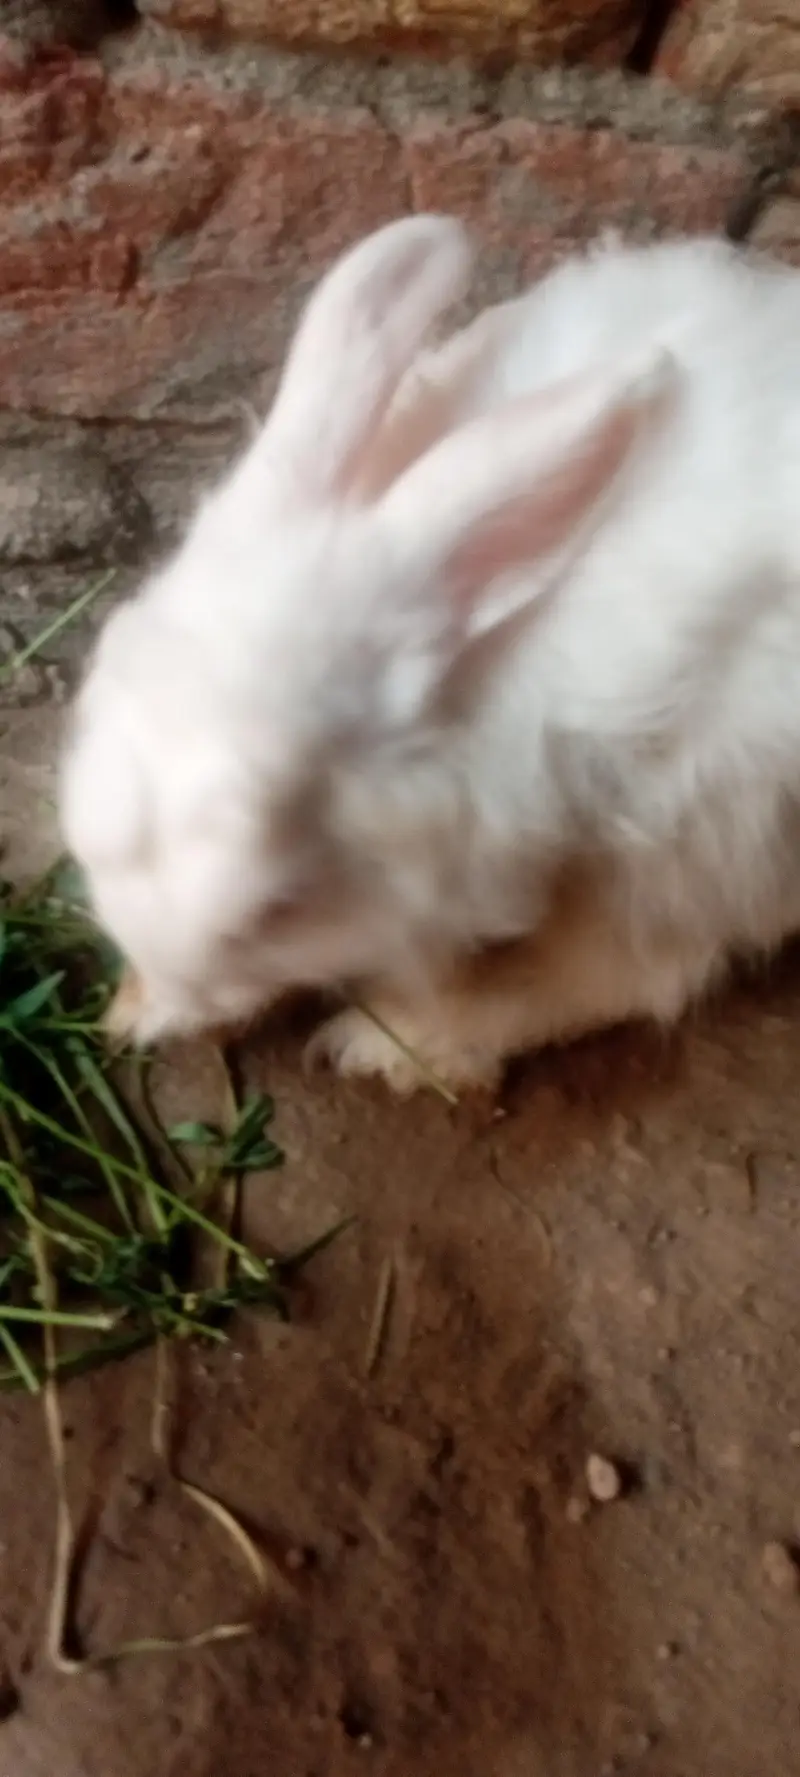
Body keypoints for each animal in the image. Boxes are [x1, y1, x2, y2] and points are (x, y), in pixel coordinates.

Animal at [59, 212, 800, 1095]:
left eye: (279, 910)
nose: (173, 993)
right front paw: (135, 1008)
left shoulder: (678, 835)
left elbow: (619, 968)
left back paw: (400, 1038)